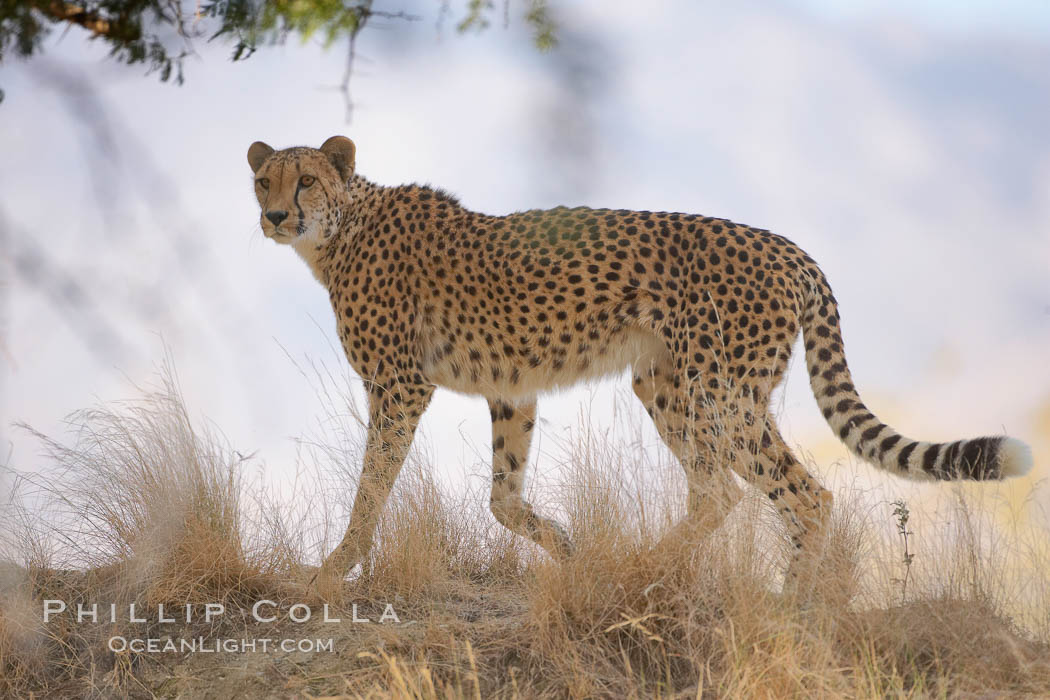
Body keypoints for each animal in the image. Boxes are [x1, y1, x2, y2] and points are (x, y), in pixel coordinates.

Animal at [246, 135, 1032, 591]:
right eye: (264, 181)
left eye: (306, 180)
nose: (276, 217)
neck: (341, 230)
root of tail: (788, 248)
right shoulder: (512, 389)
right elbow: (501, 497)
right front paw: (563, 547)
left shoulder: (400, 386)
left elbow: (372, 486)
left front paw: (331, 570)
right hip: (667, 384)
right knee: (754, 494)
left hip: (718, 391)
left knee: (771, 493)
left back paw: (735, 589)